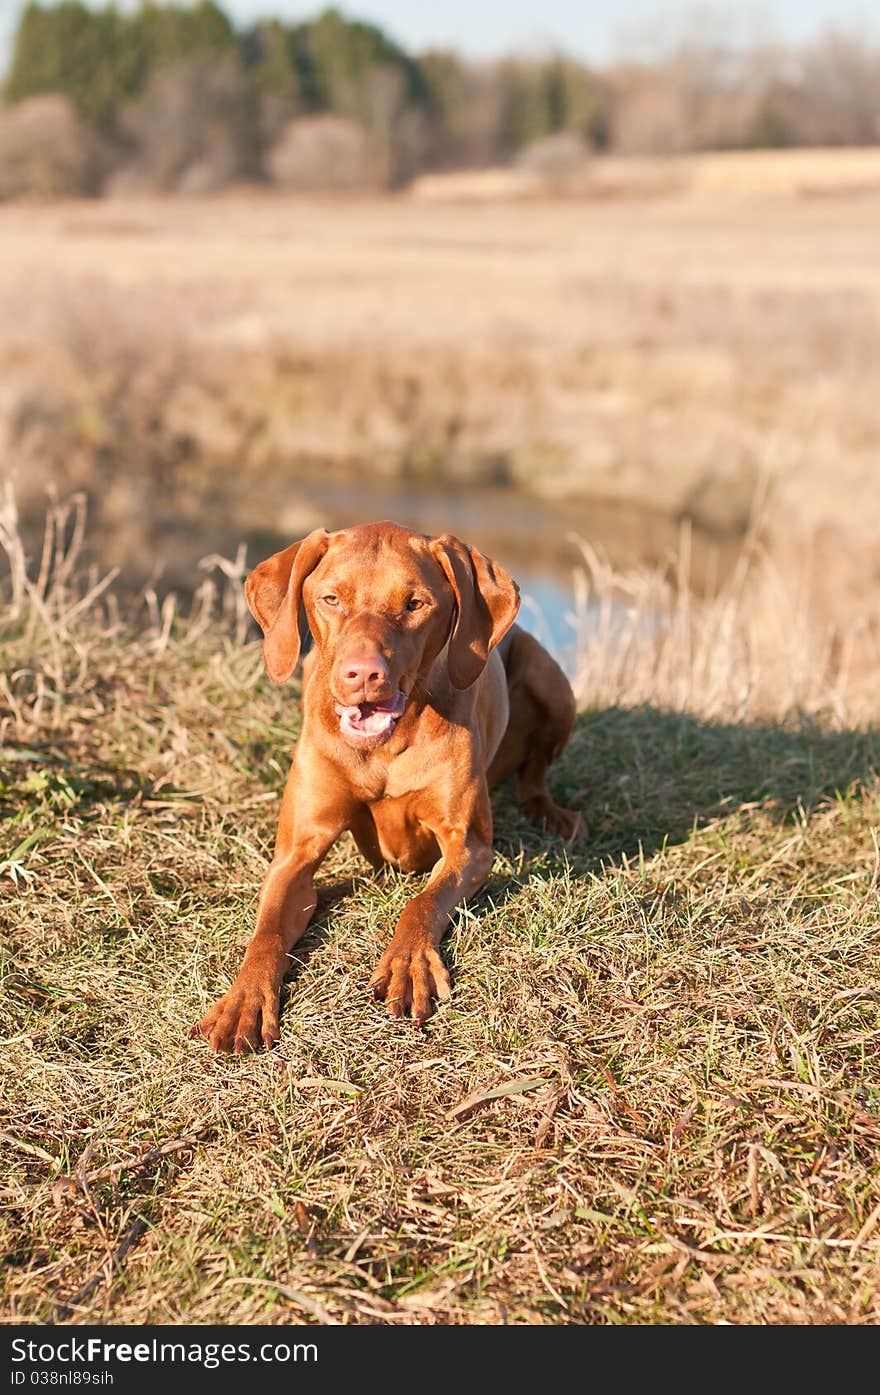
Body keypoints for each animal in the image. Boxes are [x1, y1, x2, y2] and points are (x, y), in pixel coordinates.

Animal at [189, 518, 582, 1049]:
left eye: (415, 604)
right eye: (332, 599)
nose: (363, 674)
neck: (383, 749)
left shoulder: (470, 846)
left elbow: (422, 901)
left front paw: (408, 964)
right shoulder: (295, 853)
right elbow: (267, 931)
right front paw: (243, 1000)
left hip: (552, 680)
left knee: (535, 776)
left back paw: (554, 814)